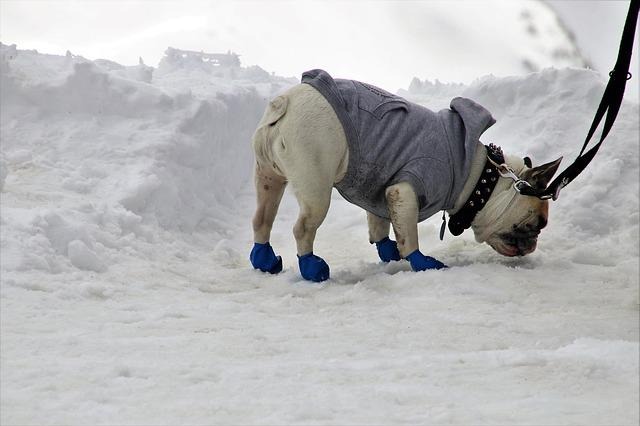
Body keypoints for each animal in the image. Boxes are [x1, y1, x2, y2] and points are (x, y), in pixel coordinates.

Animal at [248, 69, 556, 282]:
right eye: (535, 225)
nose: (532, 245)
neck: (480, 176)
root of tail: (284, 103)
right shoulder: (405, 191)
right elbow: (409, 235)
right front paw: (422, 262)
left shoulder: (381, 190)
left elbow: (380, 225)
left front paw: (389, 251)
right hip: (315, 187)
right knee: (303, 228)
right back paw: (311, 268)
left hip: (269, 177)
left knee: (262, 218)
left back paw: (264, 260)